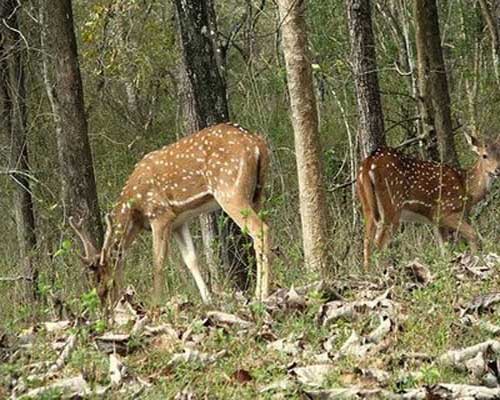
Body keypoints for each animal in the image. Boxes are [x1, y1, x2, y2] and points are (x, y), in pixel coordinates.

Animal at [69, 123, 270, 308]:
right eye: (94, 286)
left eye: (108, 284)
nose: (108, 309)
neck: (135, 210)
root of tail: (257, 143)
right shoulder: (178, 222)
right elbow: (191, 259)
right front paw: (208, 301)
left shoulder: (160, 214)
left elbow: (158, 263)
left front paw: (156, 305)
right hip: (256, 194)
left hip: (229, 190)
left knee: (261, 229)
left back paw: (261, 295)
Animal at [356, 134, 500, 268]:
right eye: (484, 155)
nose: (497, 170)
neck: (467, 189)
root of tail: (368, 163)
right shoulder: (444, 211)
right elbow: (473, 234)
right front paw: (477, 262)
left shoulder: (437, 223)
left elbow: (444, 249)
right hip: (392, 205)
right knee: (378, 243)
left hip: (367, 205)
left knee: (367, 241)